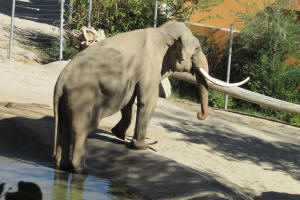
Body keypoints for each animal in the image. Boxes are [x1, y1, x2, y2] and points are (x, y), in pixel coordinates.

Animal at [53, 20, 248, 173]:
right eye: (197, 49)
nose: (199, 115)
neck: (161, 33)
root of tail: (60, 82)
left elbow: (129, 101)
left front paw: (119, 135)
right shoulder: (150, 65)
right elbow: (148, 101)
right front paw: (140, 147)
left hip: (66, 102)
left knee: (64, 128)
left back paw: (63, 166)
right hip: (82, 100)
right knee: (81, 130)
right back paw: (83, 170)